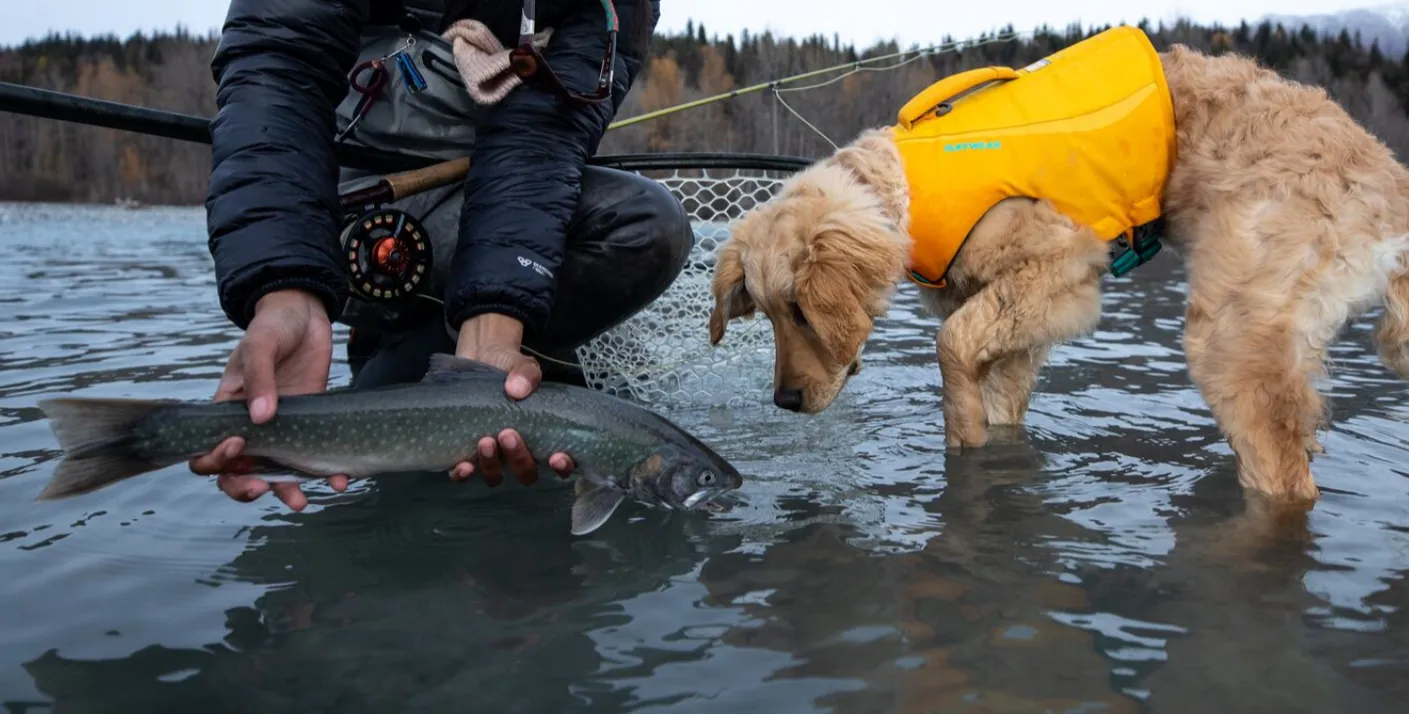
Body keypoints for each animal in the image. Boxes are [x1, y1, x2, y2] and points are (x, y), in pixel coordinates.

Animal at [710, 34, 1409, 509]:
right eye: (767, 313)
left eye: (801, 310)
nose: (785, 401)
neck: (909, 189)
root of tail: (1390, 184)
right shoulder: (1015, 324)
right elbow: (994, 388)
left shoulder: (1064, 268)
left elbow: (950, 347)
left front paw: (961, 434)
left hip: (1232, 337)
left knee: (1287, 481)